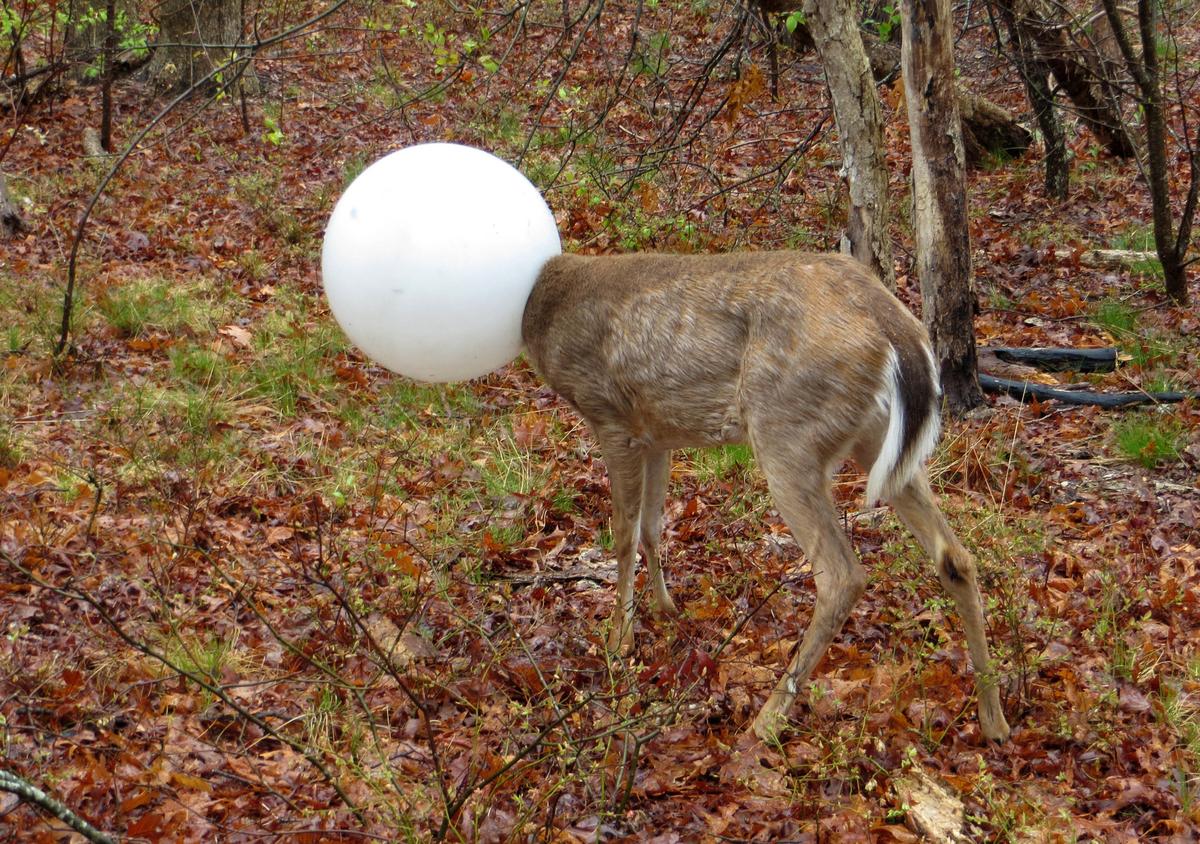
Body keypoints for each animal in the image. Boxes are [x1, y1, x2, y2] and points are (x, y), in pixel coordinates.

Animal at [521, 251, 1011, 742]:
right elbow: (651, 525)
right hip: (875, 440)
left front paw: (618, 641)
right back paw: (994, 718)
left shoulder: (609, 415)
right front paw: (665, 609)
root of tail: (899, 328)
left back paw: (768, 717)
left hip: (787, 431)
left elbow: (623, 533)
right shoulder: (656, 432)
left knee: (842, 575)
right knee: (955, 556)